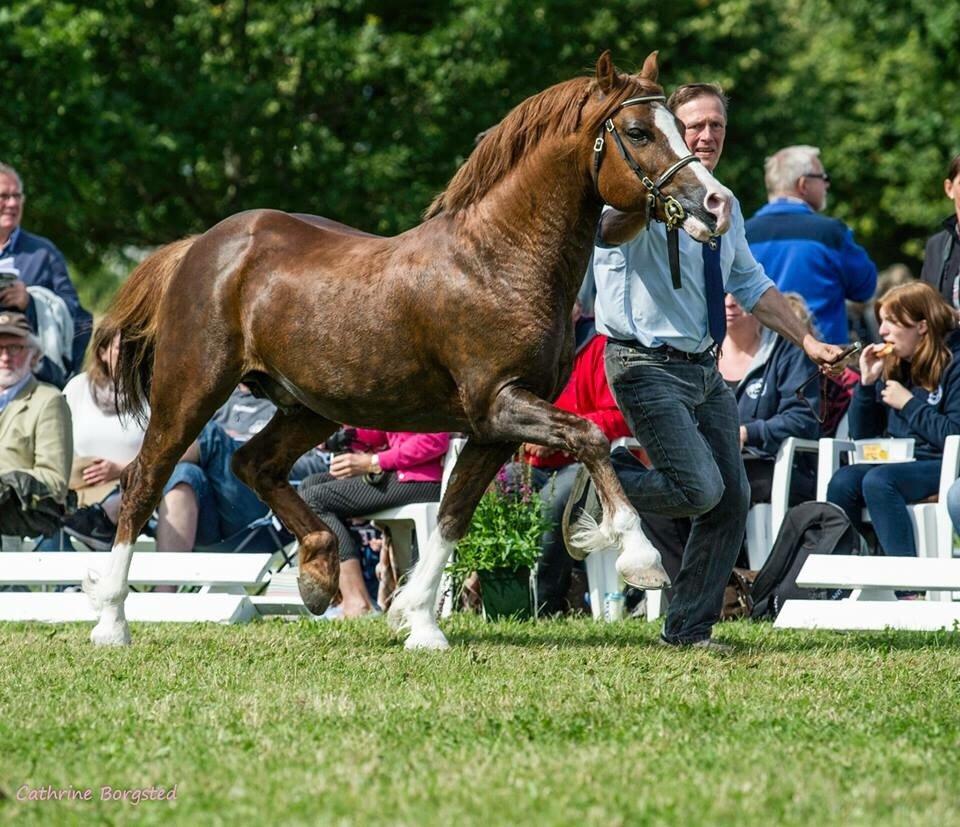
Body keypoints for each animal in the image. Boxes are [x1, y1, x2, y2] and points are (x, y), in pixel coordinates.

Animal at [82, 50, 732, 648]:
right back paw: (111, 621)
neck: (497, 260)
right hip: (191, 391)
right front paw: (640, 558)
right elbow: (591, 437)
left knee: (252, 464)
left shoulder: (492, 428)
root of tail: (200, 246)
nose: (717, 206)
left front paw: (417, 620)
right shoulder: (501, 404)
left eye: (681, 127)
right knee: (143, 483)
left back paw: (317, 571)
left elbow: (451, 516)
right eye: (639, 132)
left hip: (311, 408)